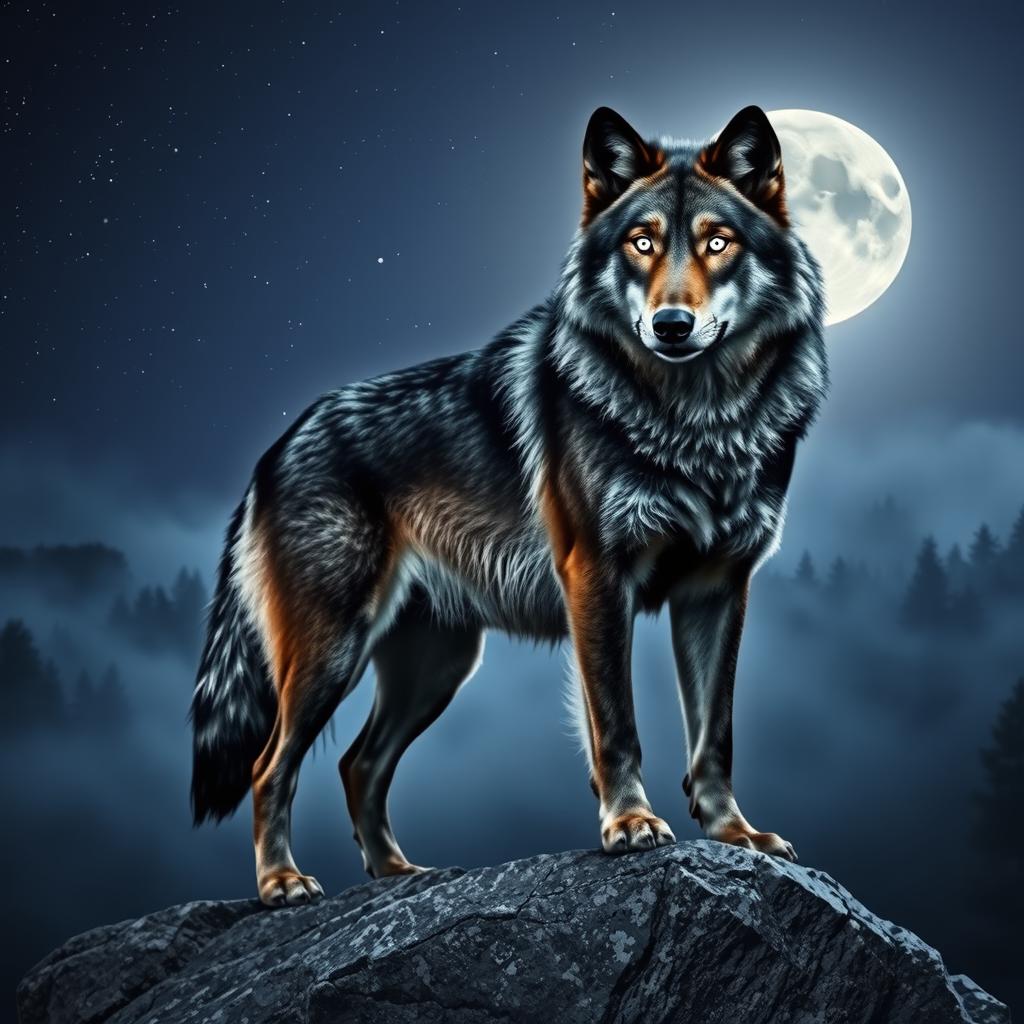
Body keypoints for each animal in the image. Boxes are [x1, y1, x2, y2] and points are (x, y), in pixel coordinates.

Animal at [190, 104, 828, 906]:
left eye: (718, 242)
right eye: (641, 242)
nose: (671, 326)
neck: (698, 421)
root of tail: (277, 446)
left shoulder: (716, 591)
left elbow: (715, 737)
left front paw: (735, 835)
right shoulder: (598, 578)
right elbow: (616, 723)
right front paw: (629, 826)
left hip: (437, 666)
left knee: (356, 764)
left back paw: (398, 874)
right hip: (334, 652)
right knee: (270, 766)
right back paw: (282, 882)